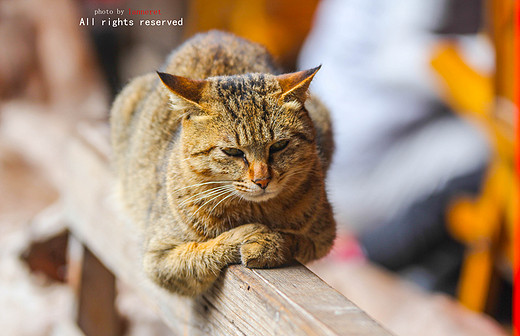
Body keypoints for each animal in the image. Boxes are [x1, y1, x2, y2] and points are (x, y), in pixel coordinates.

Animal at [111, 30, 336, 296]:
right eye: (232, 151)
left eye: (279, 145)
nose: (262, 180)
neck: (254, 210)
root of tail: (218, 34)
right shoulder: (158, 257)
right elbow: (205, 250)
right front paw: (251, 235)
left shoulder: (323, 234)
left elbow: (294, 239)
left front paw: (268, 243)